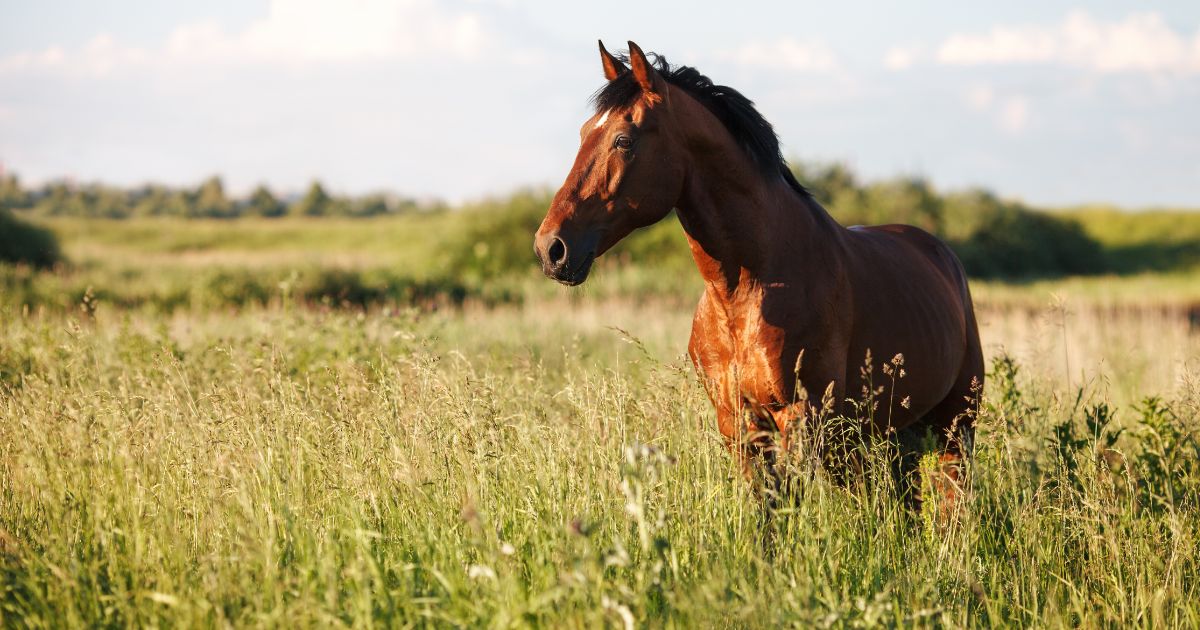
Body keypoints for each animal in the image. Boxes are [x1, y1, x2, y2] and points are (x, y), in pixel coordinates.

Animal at [534, 41, 983, 502]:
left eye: (623, 139)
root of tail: (941, 254)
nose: (551, 248)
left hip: (954, 423)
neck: (747, 291)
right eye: (585, 132)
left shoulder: (803, 417)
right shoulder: (737, 422)